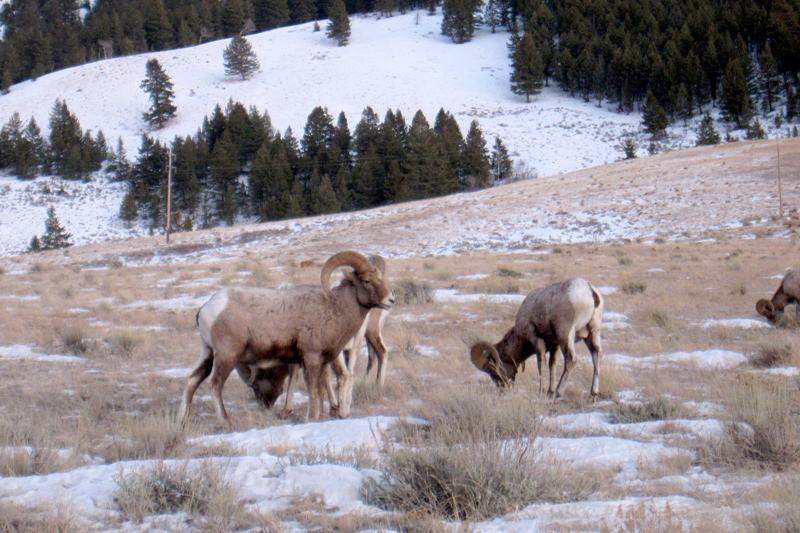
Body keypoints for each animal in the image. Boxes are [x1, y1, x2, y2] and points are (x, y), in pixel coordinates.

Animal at [180, 250, 396, 424]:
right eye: (367, 281)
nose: (391, 300)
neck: (334, 309)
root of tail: (208, 307)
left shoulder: (323, 362)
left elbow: (321, 389)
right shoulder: (311, 358)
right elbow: (313, 390)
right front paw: (311, 418)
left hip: (208, 353)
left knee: (192, 379)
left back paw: (183, 420)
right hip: (227, 355)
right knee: (215, 384)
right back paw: (226, 422)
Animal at [466, 278, 604, 394]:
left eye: (492, 370)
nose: (502, 386)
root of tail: (589, 290)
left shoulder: (536, 339)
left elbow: (541, 363)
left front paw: (542, 390)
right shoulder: (555, 344)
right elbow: (552, 364)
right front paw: (550, 391)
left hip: (566, 335)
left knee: (571, 360)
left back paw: (559, 393)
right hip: (593, 332)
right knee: (596, 355)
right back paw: (593, 393)